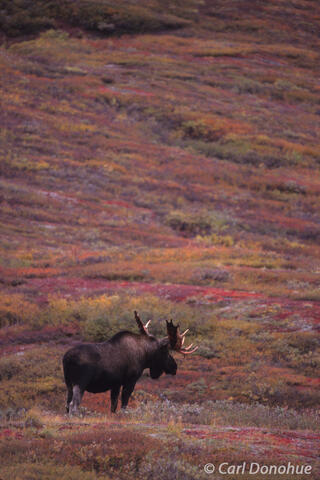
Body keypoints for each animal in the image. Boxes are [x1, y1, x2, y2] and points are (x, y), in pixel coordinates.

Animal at [62, 312, 198, 412]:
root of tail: (66, 359)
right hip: (80, 382)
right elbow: (124, 403)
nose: (175, 367)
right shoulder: (131, 380)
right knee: (74, 404)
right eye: (166, 352)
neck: (145, 356)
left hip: (68, 383)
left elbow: (113, 405)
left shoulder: (115, 384)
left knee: (67, 404)